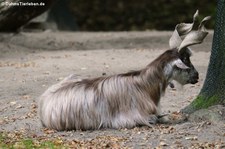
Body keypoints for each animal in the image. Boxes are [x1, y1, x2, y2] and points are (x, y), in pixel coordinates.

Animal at [38, 10, 209, 130]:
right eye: (186, 60)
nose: (197, 76)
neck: (145, 85)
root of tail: (44, 104)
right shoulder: (129, 118)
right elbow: (156, 119)